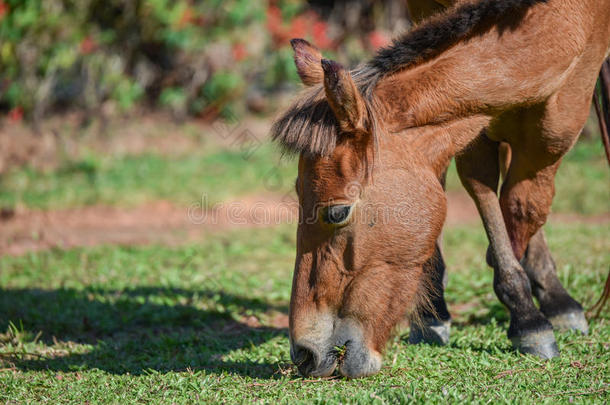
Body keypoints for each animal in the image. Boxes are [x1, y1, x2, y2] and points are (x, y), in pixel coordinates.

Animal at [270, 0, 608, 378]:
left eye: (338, 211)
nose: (305, 353)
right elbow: (485, 181)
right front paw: (521, 303)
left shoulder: (570, 100)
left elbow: (524, 202)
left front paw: (526, 307)